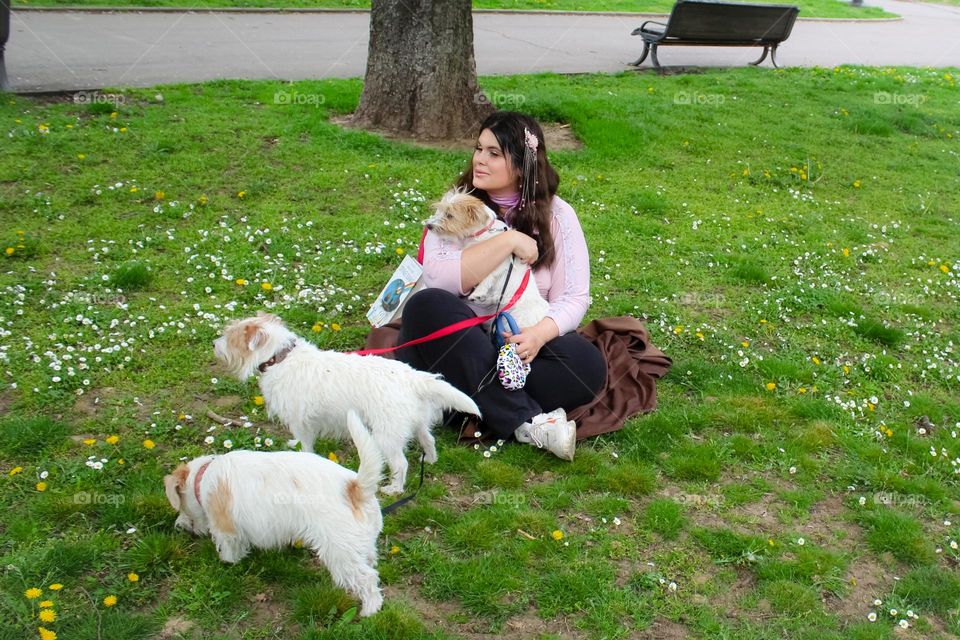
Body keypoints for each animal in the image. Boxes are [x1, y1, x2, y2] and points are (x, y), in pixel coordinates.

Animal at [166, 410, 386, 616]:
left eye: (180, 506)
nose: (178, 527)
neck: (203, 476)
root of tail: (354, 487)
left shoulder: (227, 529)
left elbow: (230, 548)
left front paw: (227, 562)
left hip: (341, 552)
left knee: (367, 578)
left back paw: (370, 610)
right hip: (358, 544)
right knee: (370, 560)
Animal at [211, 312, 480, 492]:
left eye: (231, 336)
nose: (214, 344)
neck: (282, 357)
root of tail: (414, 379)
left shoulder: (300, 420)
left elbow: (305, 443)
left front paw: (303, 455)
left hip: (386, 434)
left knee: (400, 463)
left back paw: (394, 489)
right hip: (415, 423)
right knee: (428, 440)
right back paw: (431, 460)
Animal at [426, 189, 552, 330]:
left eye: (449, 215)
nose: (428, 225)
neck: (484, 232)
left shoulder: (502, 265)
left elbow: (488, 278)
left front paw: (477, 293)